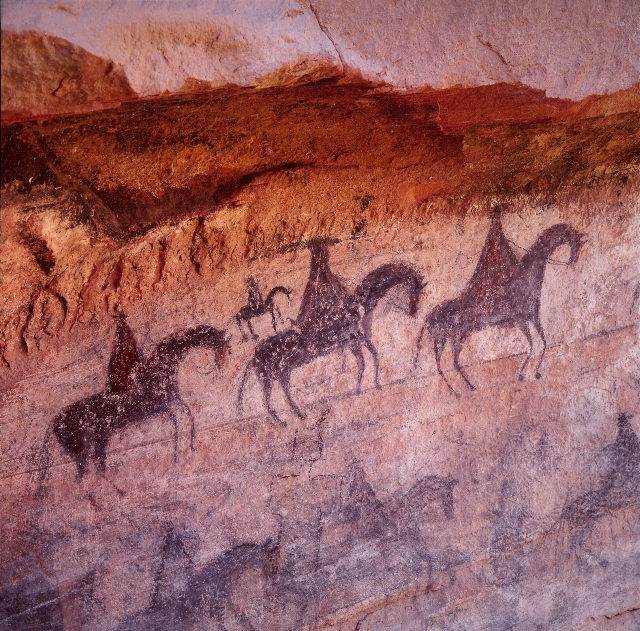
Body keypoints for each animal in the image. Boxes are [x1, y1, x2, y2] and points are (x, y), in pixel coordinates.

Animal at [53, 318, 228, 476]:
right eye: (220, 344)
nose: (221, 365)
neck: (159, 369)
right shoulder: (166, 403)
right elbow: (184, 413)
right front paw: (182, 453)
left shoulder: (170, 403)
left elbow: (185, 415)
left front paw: (185, 451)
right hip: (82, 444)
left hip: (94, 440)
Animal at [240, 262, 424, 424]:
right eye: (415, 290)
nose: (413, 312)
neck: (356, 307)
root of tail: (254, 356)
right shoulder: (356, 340)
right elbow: (368, 359)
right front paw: (366, 387)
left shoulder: (356, 341)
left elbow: (368, 359)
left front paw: (368, 386)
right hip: (273, 373)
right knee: (269, 396)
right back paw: (286, 419)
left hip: (280, 371)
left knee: (278, 391)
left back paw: (295, 415)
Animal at [416, 218, 584, 396]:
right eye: (575, 242)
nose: (572, 261)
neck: (524, 280)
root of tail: (428, 317)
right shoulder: (520, 320)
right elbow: (533, 345)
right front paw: (523, 374)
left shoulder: (533, 317)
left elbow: (543, 342)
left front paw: (535, 372)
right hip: (450, 338)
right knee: (444, 363)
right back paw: (460, 389)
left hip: (452, 338)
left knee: (448, 363)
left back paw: (464, 388)